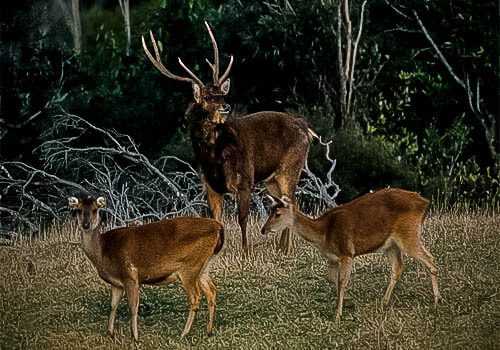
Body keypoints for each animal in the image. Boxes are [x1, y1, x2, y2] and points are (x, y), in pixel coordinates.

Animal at [68, 194, 225, 340]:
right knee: (211, 291)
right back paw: (209, 330)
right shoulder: (116, 283)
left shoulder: (130, 275)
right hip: (204, 266)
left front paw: (134, 337)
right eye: (78, 210)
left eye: (95, 209)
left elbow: (133, 307)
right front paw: (110, 333)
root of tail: (219, 227)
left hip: (190, 266)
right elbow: (113, 305)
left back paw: (183, 334)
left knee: (196, 297)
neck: (103, 251)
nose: (86, 225)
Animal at [141, 21, 316, 253]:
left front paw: (245, 251)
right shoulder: (209, 185)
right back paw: (280, 248)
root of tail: (304, 127)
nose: (226, 106)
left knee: (292, 202)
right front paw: (216, 252)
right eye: (207, 96)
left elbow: (242, 218)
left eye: (222, 94)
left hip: (291, 167)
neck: (213, 159)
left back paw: (284, 249)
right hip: (271, 179)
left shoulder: (245, 180)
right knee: (285, 202)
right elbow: (216, 220)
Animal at [260, 189, 440, 322]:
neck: (324, 234)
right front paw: (348, 303)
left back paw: (436, 301)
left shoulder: (347, 253)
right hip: (391, 245)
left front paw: (337, 315)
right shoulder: (332, 258)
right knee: (398, 268)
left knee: (430, 259)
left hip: (408, 234)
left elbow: (342, 282)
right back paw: (384, 302)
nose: (263, 230)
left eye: (277, 214)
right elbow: (331, 279)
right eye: (269, 211)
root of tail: (425, 203)